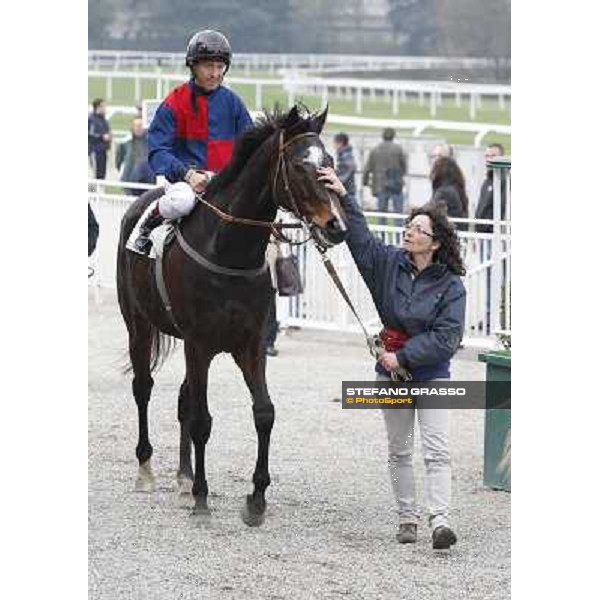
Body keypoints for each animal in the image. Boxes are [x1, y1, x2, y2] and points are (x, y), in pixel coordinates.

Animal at [115, 106, 350, 524]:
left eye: (330, 163)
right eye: (298, 165)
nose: (335, 226)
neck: (228, 251)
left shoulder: (250, 344)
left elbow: (264, 413)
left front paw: (256, 498)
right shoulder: (200, 344)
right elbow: (202, 421)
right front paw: (202, 497)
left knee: (184, 400)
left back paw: (182, 477)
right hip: (138, 324)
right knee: (143, 387)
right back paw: (146, 470)